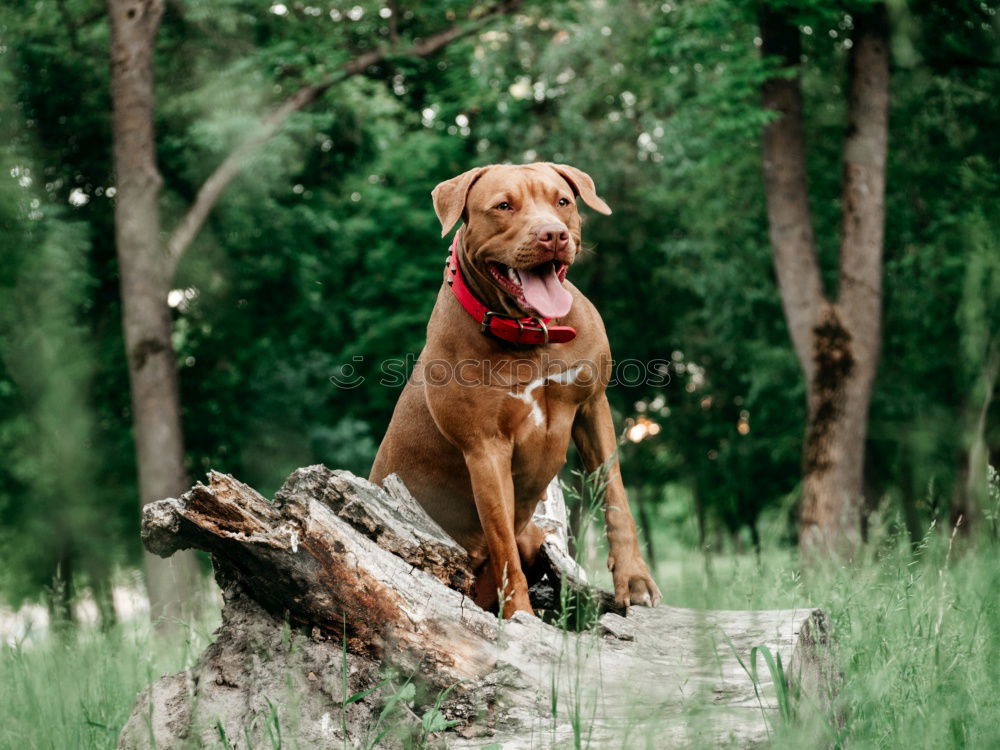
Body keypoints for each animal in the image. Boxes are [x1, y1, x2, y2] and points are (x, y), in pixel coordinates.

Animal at [372, 163, 660, 616]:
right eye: (504, 206)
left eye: (563, 201)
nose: (553, 234)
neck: (532, 332)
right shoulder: (485, 449)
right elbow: (502, 541)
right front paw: (520, 617)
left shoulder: (593, 406)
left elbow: (615, 495)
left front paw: (634, 581)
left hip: (536, 534)